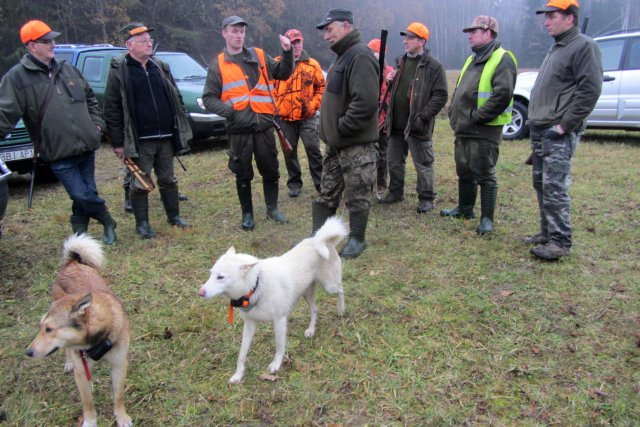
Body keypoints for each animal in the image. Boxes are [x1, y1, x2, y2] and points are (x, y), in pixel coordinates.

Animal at [26, 234, 132, 427]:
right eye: (41, 327)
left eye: (49, 329)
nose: (28, 352)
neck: (98, 338)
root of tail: (73, 262)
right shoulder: (82, 370)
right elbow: (87, 402)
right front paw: (90, 422)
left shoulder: (119, 364)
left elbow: (118, 396)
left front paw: (122, 417)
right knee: (68, 352)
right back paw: (69, 363)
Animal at [201, 217, 348, 384]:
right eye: (211, 274)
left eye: (221, 277)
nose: (200, 292)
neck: (257, 284)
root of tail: (323, 241)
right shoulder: (250, 324)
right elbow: (242, 354)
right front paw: (238, 375)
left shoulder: (279, 321)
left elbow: (279, 347)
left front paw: (276, 365)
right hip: (307, 293)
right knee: (315, 309)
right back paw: (311, 330)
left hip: (329, 286)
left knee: (341, 290)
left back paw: (341, 310)